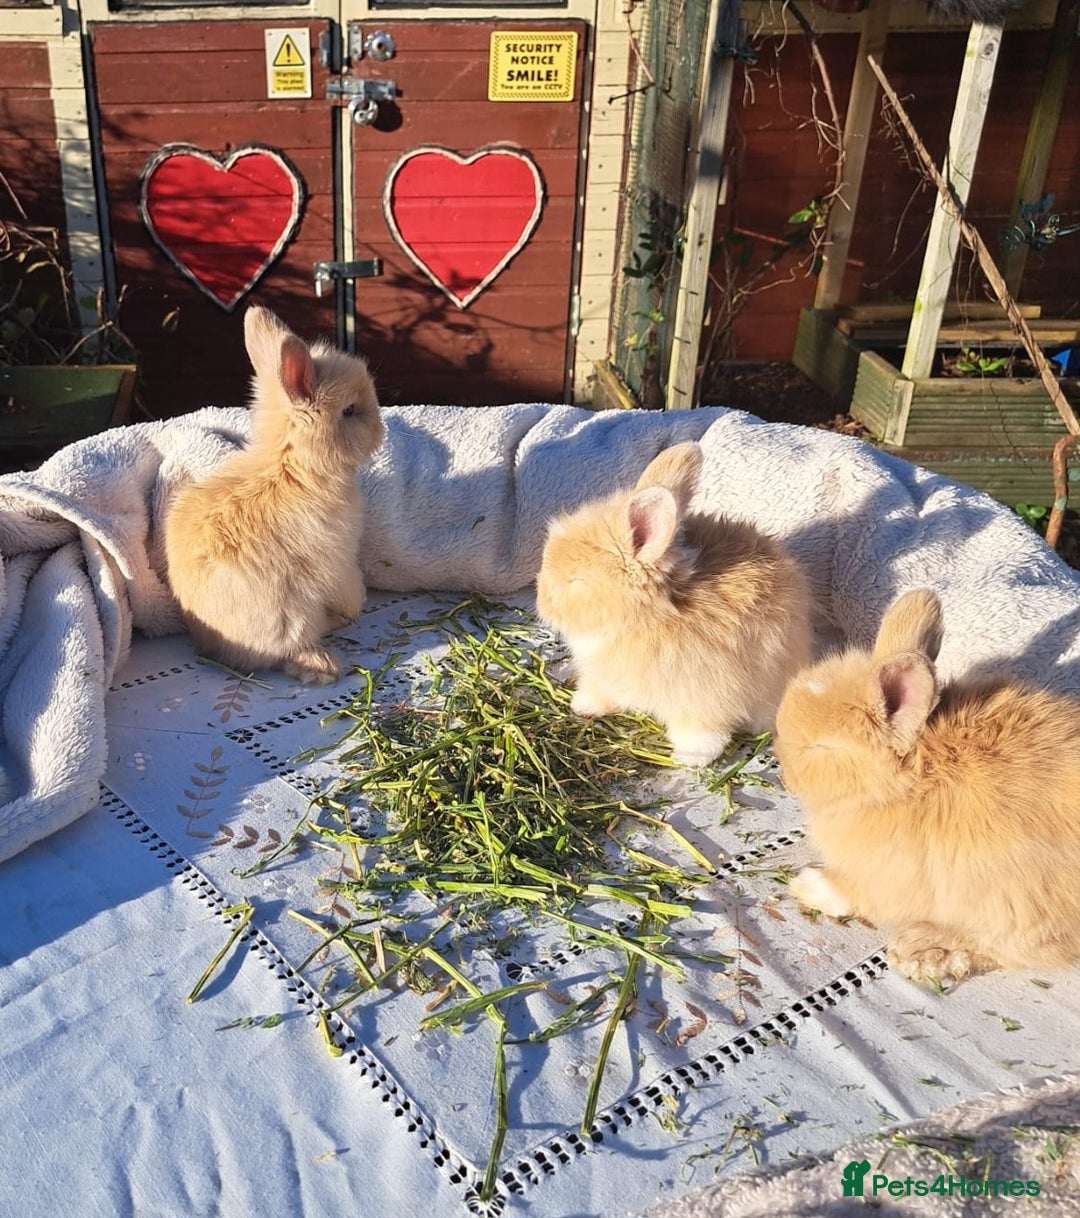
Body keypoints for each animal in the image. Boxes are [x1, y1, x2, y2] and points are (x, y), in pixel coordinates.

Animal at [163, 305, 384, 685]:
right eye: (350, 411)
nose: (381, 430)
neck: (292, 467)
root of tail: (215, 649)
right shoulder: (338, 560)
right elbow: (349, 588)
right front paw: (359, 603)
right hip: (292, 617)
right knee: (291, 653)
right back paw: (325, 663)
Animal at [535, 441, 813, 766]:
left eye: (575, 581)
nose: (541, 603)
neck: (646, 620)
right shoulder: (605, 679)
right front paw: (583, 706)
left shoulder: (708, 698)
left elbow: (704, 733)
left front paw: (691, 757)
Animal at [774, 587, 1080, 985]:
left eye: (823, 748)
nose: (784, 773)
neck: (913, 779)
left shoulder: (882, 877)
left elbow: (850, 892)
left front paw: (807, 884)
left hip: (1019, 908)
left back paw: (922, 951)